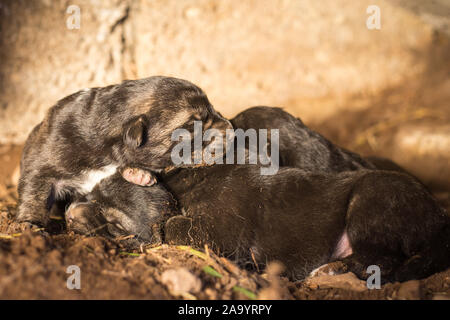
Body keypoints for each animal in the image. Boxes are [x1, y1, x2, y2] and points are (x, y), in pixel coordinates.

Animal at [16, 76, 232, 228]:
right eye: (190, 126)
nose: (230, 130)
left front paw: (137, 173)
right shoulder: (44, 161)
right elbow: (35, 192)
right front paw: (29, 224)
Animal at [162, 166, 450, 282]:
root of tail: (439, 218)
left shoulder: (220, 229)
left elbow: (176, 226)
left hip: (370, 200)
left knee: (380, 259)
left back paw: (326, 271)